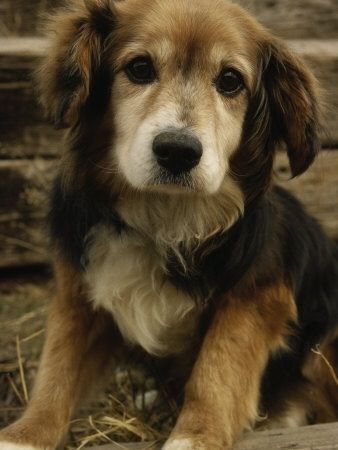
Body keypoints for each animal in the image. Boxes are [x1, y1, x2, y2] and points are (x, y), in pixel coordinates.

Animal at [0, 0, 338, 448]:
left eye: (230, 80)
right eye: (140, 68)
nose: (178, 151)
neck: (166, 216)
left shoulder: (254, 298)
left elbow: (216, 370)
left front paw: (194, 436)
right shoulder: (79, 292)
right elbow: (57, 370)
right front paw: (25, 434)